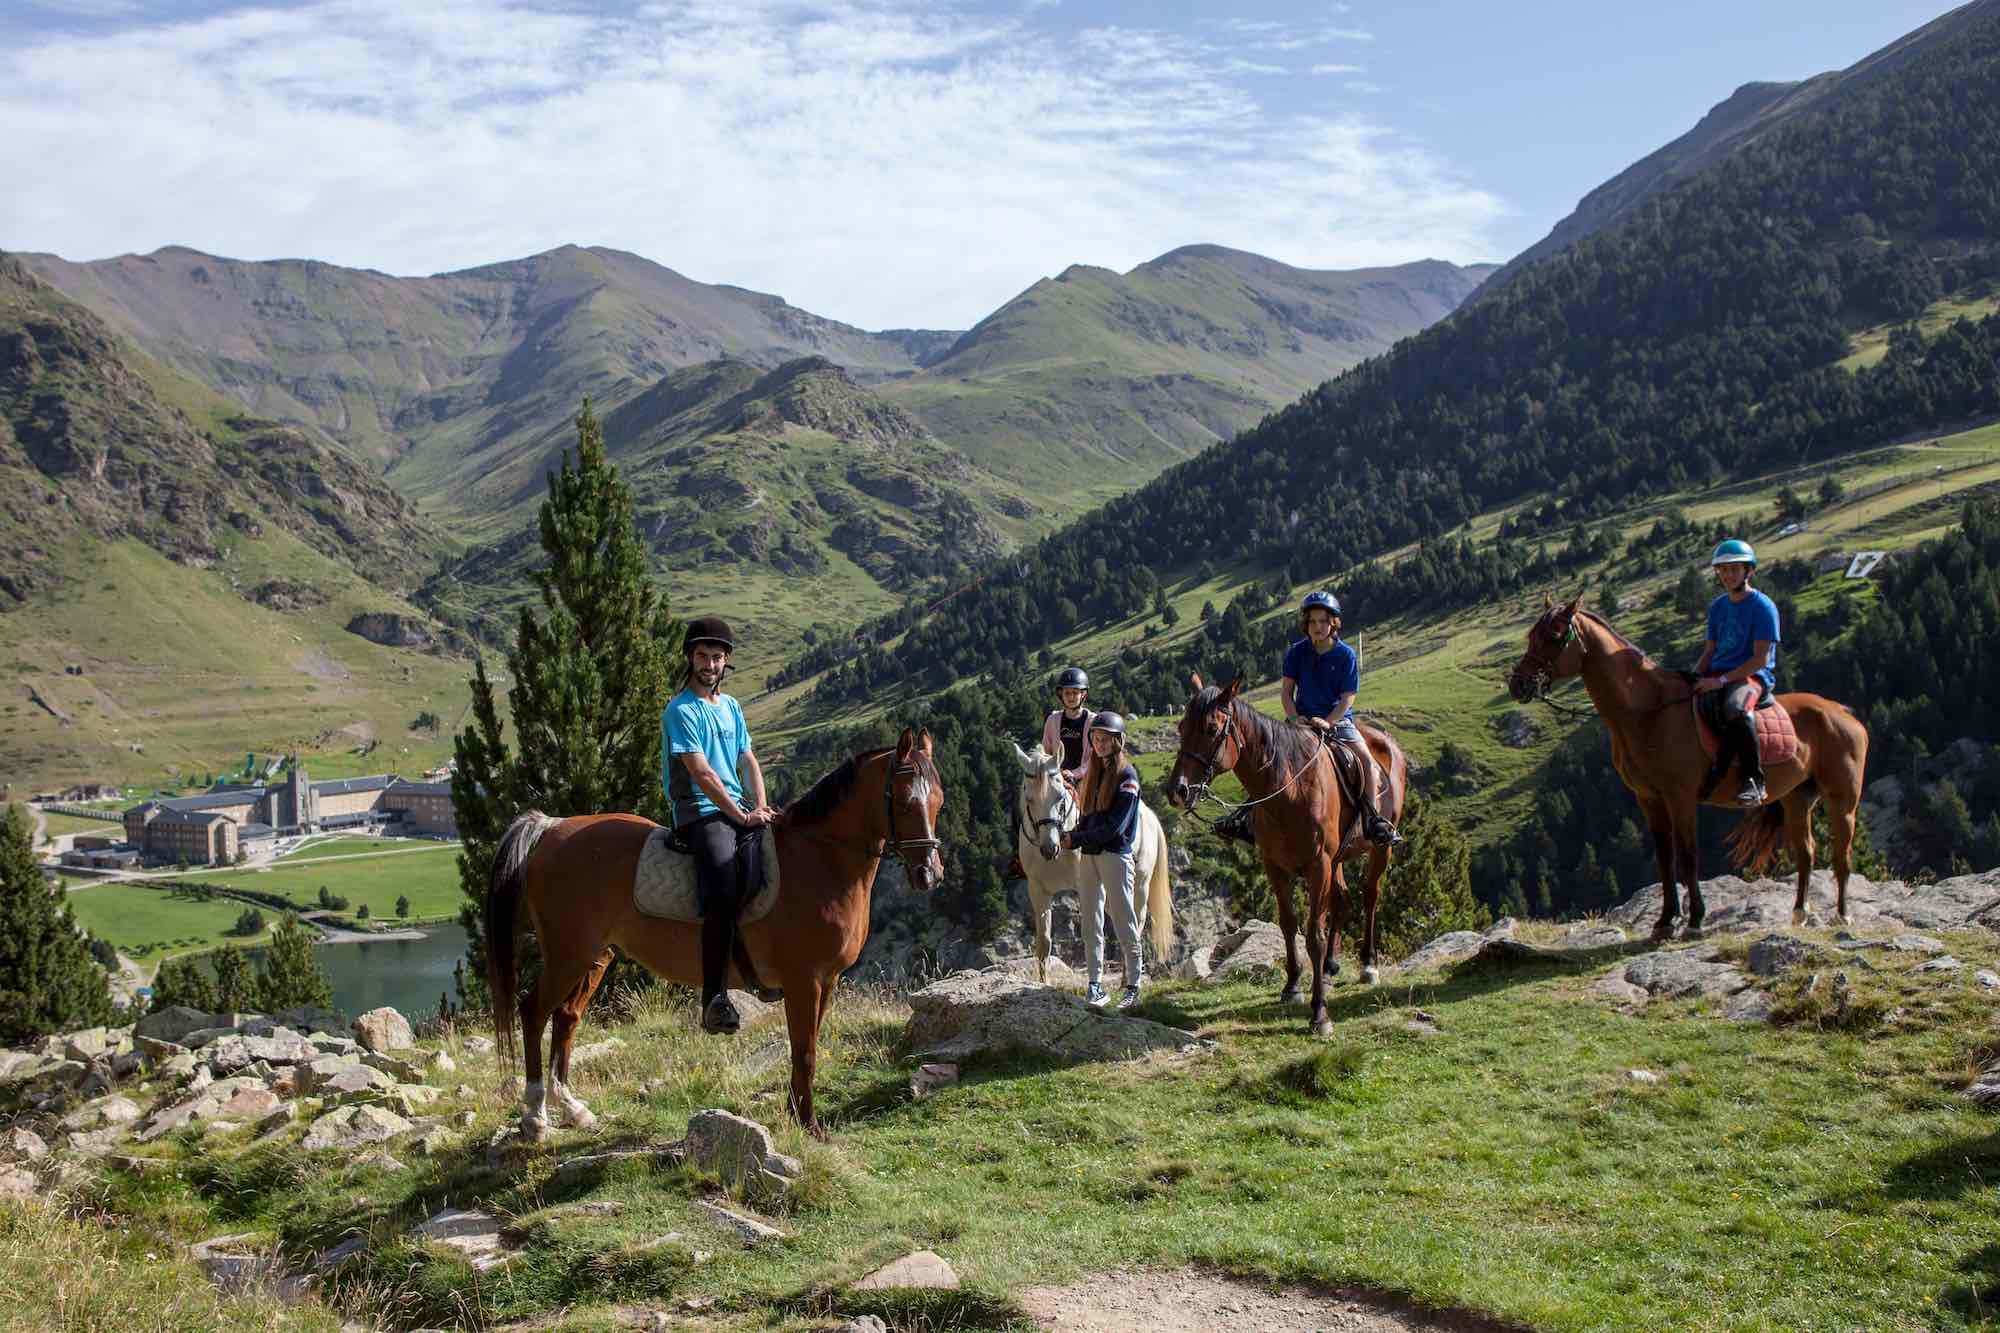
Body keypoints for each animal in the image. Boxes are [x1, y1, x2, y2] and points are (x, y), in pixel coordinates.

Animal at [490, 728, 944, 1128]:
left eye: (938, 801)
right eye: (906, 802)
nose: (929, 874)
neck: (820, 859)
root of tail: (552, 827)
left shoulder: (826, 981)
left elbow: (807, 1046)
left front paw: (796, 1116)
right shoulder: (803, 981)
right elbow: (805, 1052)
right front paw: (810, 1126)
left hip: (596, 955)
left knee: (566, 1016)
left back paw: (572, 1109)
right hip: (568, 954)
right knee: (533, 1012)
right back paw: (535, 1116)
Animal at [1016, 740, 1168, 980]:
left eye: (1060, 797)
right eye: (1029, 799)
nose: (1049, 848)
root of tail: (1150, 816)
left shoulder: (1085, 887)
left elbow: (1092, 934)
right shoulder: (1038, 890)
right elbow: (1044, 942)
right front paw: (1043, 983)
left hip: (1140, 885)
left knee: (1135, 923)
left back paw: (1126, 980)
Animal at [1168, 668, 1416, 1032]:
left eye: (1212, 729)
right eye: (1181, 728)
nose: (1178, 791)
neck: (1290, 791)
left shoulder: (1318, 865)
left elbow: (1314, 934)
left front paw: (1319, 1013)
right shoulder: (1275, 866)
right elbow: (1288, 924)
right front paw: (1293, 986)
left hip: (1378, 849)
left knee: (1370, 895)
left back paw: (1368, 965)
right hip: (1338, 859)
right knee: (1341, 900)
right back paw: (1329, 967)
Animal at [1512, 592, 1872, 932]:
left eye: (1555, 635)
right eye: (1531, 634)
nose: (1518, 684)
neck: (1651, 712)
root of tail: (1843, 712)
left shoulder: (1680, 797)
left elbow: (1687, 857)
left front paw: (1695, 919)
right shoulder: (1649, 798)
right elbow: (1665, 857)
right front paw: (1665, 920)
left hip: (1842, 799)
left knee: (1841, 854)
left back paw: (1842, 916)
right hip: (1797, 798)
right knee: (1806, 853)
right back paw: (1799, 914)